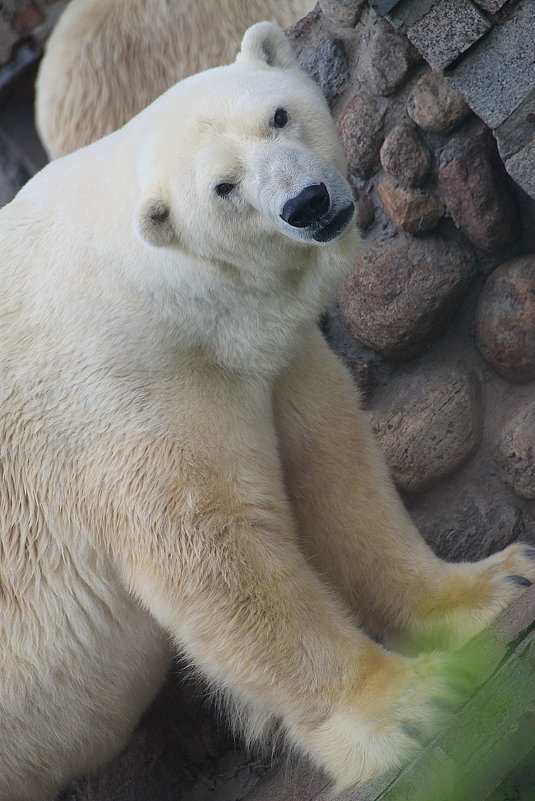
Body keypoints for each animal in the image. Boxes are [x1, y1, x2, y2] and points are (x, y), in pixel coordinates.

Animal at [1, 21, 535, 800]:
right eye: (223, 188)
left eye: (278, 115)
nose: (307, 203)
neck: (144, 291)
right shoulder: (114, 396)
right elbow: (216, 548)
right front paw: (404, 708)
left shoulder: (260, 360)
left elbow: (332, 470)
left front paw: (494, 583)